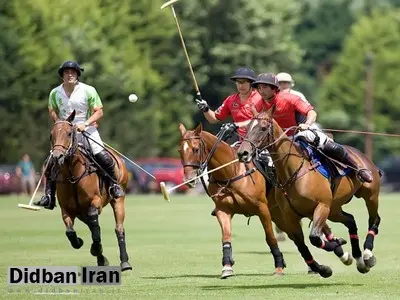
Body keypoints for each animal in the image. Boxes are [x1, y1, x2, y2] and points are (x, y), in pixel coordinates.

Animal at [49, 110, 132, 272]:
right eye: (51, 134)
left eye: (69, 133)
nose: (56, 157)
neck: (73, 175)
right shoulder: (66, 209)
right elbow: (70, 232)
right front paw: (80, 242)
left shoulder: (95, 202)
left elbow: (95, 225)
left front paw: (96, 248)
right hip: (81, 211)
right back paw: (101, 259)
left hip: (118, 199)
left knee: (118, 228)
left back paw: (125, 262)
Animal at [178, 123, 338, 278]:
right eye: (180, 151)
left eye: (196, 149)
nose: (189, 180)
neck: (231, 172)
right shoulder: (222, 210)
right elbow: (226, 237)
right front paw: (227, 266)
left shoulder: (262, 209)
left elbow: (270, 238)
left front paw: (279, 266)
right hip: (281, 215)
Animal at [236, 110, 382, 274]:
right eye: (247, 127)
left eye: (263, 128)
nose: (243, 153)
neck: (292, 172)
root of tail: (359, 153)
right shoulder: (290, 216)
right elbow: (302, 245)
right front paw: (323, 268)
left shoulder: (322, 206)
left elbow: (314, 238)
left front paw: (335, 247)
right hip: (334, 209)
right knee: (350, 220)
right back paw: (358, 259)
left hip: (369, 195)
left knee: (374, 219)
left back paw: (368, 255)